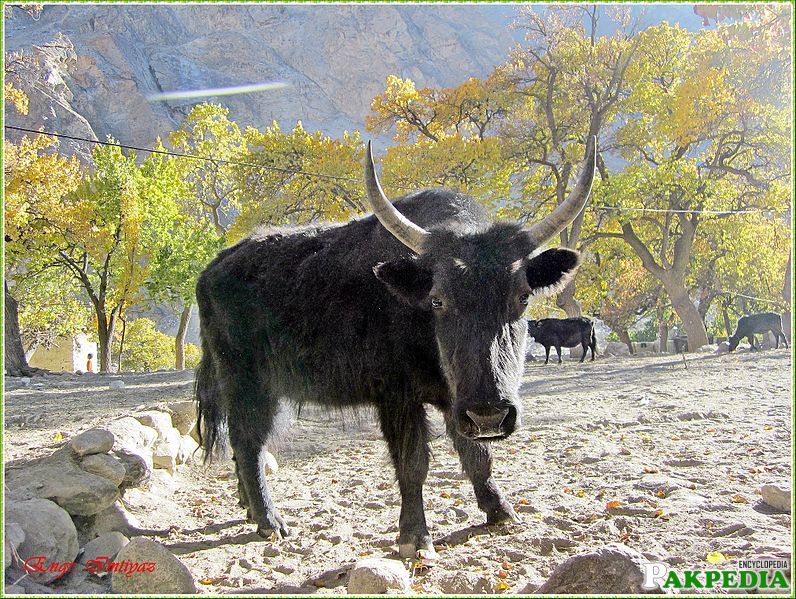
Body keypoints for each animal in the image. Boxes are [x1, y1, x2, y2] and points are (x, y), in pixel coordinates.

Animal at [196, 138, 596, 560]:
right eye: (437, 300)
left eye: (522, 297)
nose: (490, 415)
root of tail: (212, 270)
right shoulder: (398, 396)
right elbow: (413, 463)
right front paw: (415, 538)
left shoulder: (457, 401)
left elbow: (476, 455)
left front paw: (500, 511)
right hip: (247, 384)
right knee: (248, 441)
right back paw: (269, 521)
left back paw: (247, 506)